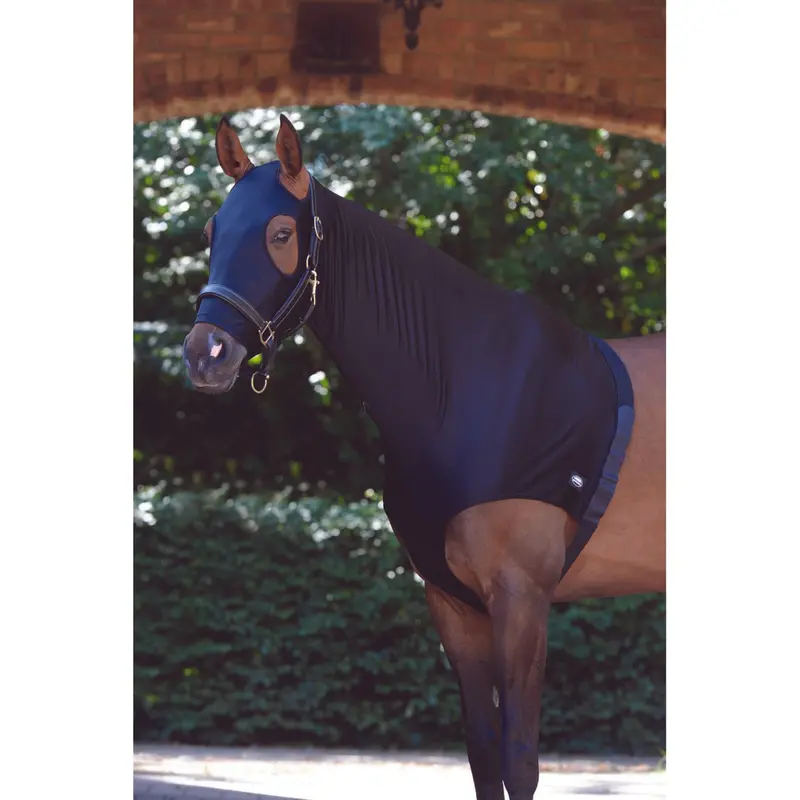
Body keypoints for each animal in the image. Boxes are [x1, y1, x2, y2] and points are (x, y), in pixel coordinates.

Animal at [181, 114, 665, 800]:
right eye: (210, 232)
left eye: (280, 232)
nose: (206, 356)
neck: (464, 386)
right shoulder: (451, 602)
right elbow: (484, 756)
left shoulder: (522, 597)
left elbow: (520, 762)